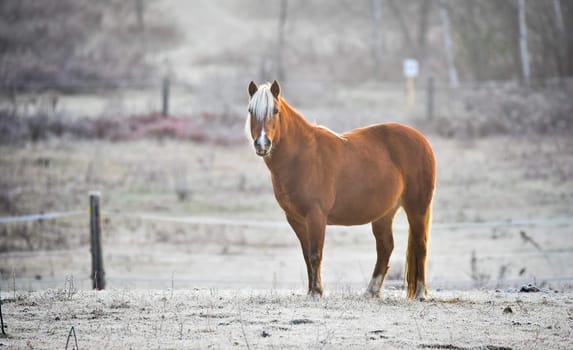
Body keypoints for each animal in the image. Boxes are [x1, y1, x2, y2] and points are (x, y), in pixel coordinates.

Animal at [244, 80, 436, 300]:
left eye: (275, 111)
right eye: (251, 111)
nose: (262, 144)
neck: (302, 156)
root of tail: (421, 139)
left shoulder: (316, 216)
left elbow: (315, 254)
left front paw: (316, 292)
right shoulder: (296, 219)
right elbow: (306, 254)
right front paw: (311, 290)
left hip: (417, 208)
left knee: (420, 245)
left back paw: (420, 293)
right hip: (384, 214)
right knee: (385, 247)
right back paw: (371, 291)